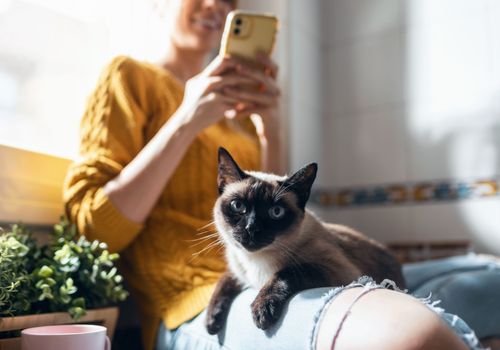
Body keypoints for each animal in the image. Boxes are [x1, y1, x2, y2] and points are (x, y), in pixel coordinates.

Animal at [206, 147, 406, 334]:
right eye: (238, 206)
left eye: (276, 212)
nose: (251, 228)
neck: (255, 263)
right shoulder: (237, 272)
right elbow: (222, 282)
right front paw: (211, 322)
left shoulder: (340, 272)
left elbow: (287, 272)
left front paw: (262, 309)